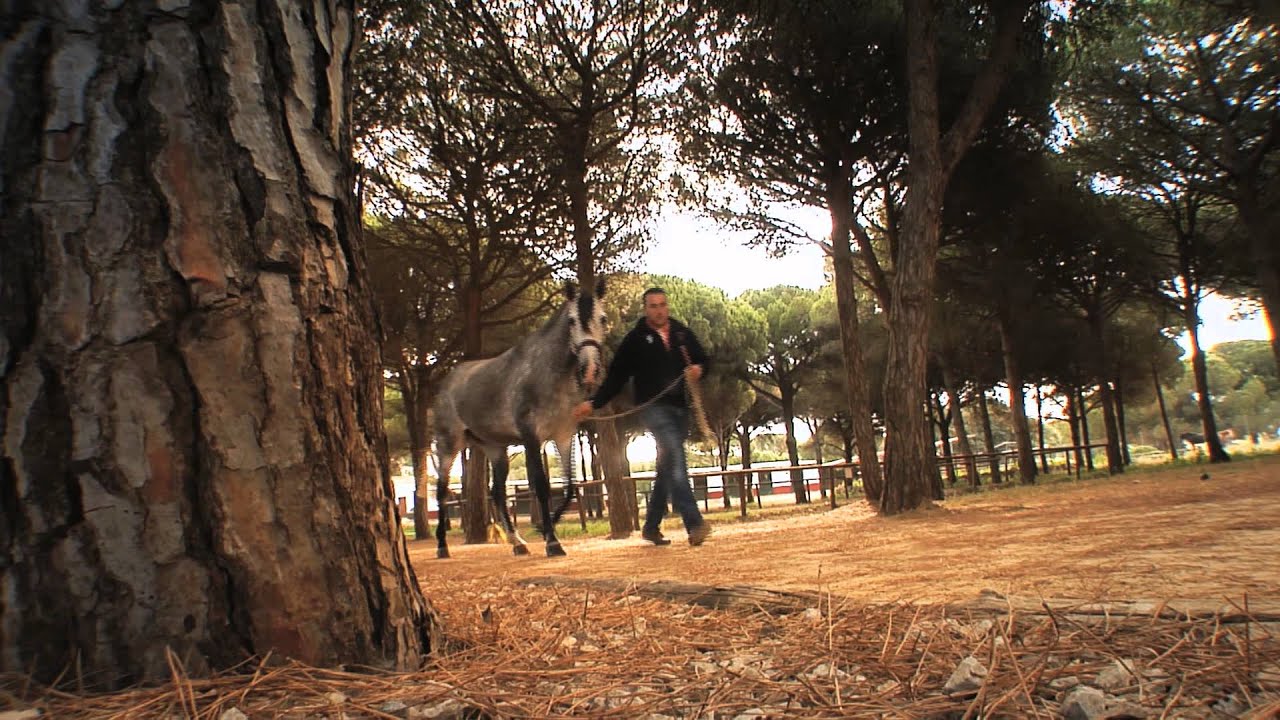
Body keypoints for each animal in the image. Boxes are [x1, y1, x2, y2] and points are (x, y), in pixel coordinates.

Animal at [431, 279, 608, 558]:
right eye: (571, 321)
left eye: (603, 318)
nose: (590, 370)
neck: (548, 373)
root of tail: (448, 382)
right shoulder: (531, 437)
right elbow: (541, 486)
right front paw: (552, 542)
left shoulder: (563, 435)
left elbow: (570, 486)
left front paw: (548, 527)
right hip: (448, 445)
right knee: (441, 492)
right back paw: (441, 546)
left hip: (495, 449)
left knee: (497, 493)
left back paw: (517, 542)